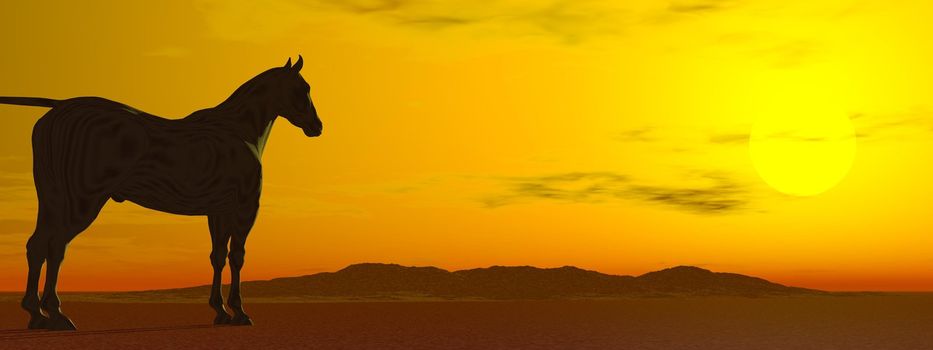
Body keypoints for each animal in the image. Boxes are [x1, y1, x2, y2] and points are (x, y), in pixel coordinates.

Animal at [0, 56, 324, 330]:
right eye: (302, 88)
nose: (317, 126)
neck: (240, 132)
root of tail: (58, 109)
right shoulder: (245, 208)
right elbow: (237, 256)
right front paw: (240, 312)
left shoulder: (219, 210)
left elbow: (218, 256)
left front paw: (220, 311)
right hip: (80, 202)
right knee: (54, 246)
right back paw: (54, 314)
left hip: (53, 199)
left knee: (39, 246)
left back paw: (39, 315)